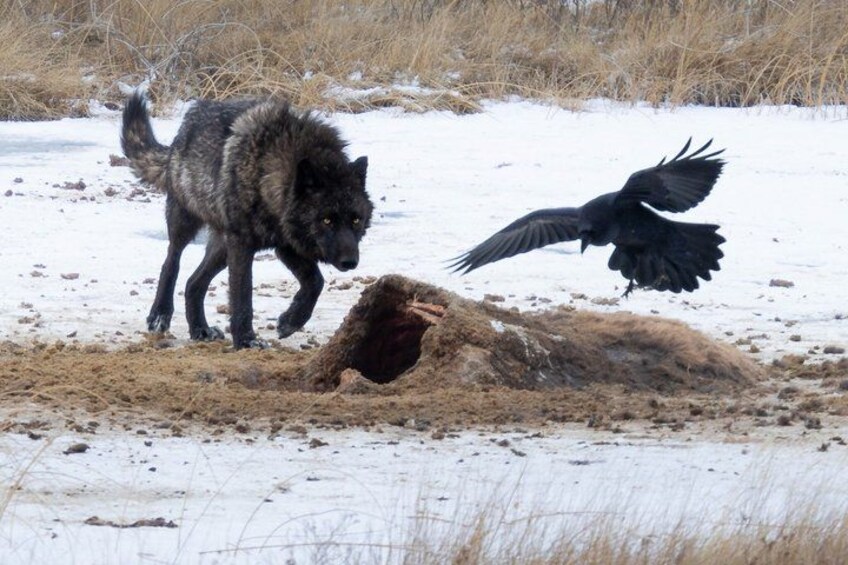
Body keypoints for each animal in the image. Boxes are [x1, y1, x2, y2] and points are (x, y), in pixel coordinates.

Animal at [121, 91, 373, 349]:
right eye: (326, 221)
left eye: (356, 220)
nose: (350, 262)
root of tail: (182, 130)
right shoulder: (243, 244)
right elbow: (242, 296)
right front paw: (246, 340)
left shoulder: (286, 244)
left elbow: (315, 282)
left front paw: (290, 322)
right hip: (186, 223)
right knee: (171, 262)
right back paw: (160, 314)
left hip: (222, 249)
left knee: (193, 283)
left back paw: (200, 329)